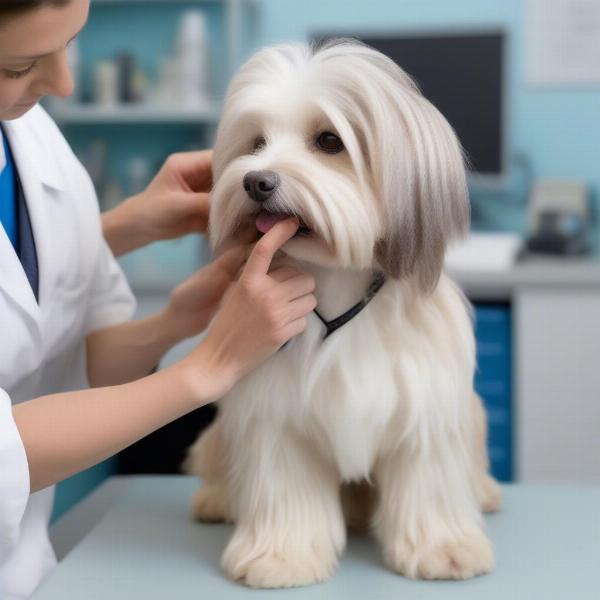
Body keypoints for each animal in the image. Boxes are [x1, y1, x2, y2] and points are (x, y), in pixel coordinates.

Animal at [186, 39, 502, 588]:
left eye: (329, 141)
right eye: (256, 143)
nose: (255, 181)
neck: (336, 288)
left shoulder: (428, 408)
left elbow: (428, 482)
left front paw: (444, 550)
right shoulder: (274, 416)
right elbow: (286, 489)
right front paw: (282, 557)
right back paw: (219, 498)